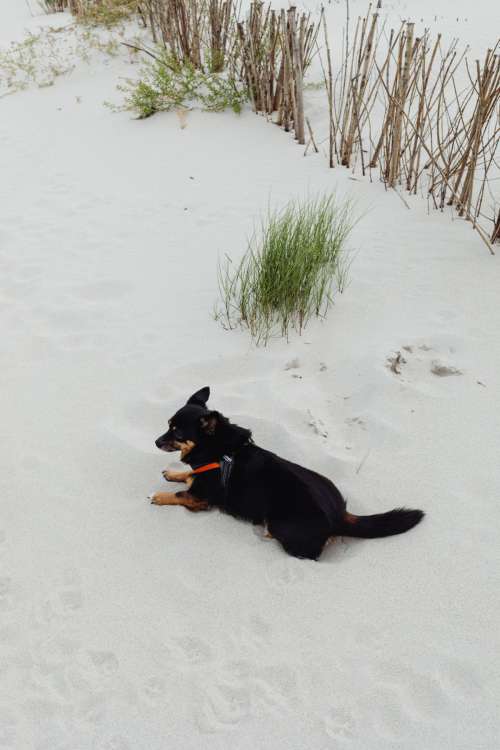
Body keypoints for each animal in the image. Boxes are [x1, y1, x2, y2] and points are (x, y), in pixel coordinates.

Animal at [150, 388, 424, 560]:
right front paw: (173, 473)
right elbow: (187, 476)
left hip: (279, 522)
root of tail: (339, 517)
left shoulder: (201, 499)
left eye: (176, 433)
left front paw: (160, 496)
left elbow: (180, 494)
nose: (155, 442)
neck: (217, 451)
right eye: (167, 425)